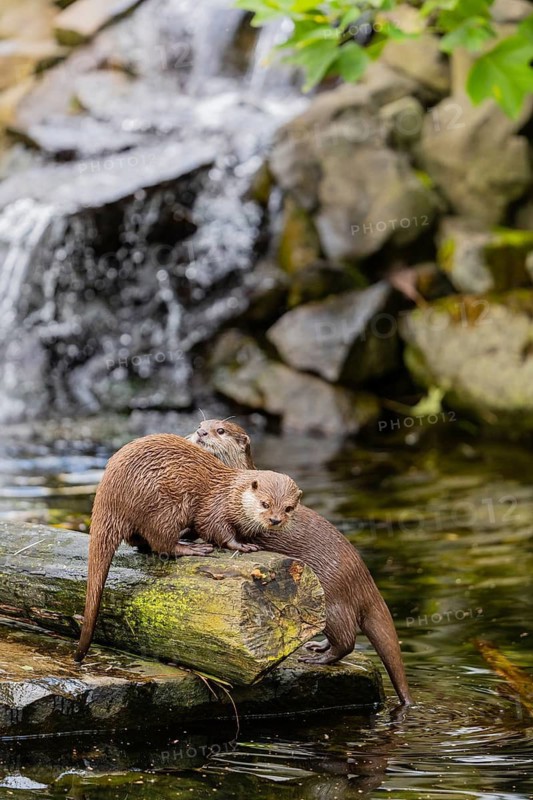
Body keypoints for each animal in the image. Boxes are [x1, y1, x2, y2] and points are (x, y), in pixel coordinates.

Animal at [75, 434, 302, 663]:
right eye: (265, 503)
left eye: (289, 508)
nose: (275, 520)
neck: (231, 495)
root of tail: (108, 494)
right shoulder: (213, 508)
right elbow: (215, 529)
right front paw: (241, 545)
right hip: (163, 507)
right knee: (161, 543)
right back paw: (191, 548)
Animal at [188, 420, 412, 706]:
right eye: (202, 424)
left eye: (221, 431)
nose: (201, 432)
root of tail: (363, 576)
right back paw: (317, 646)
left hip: (332, 597)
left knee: (347, 639)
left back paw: (319, 658)